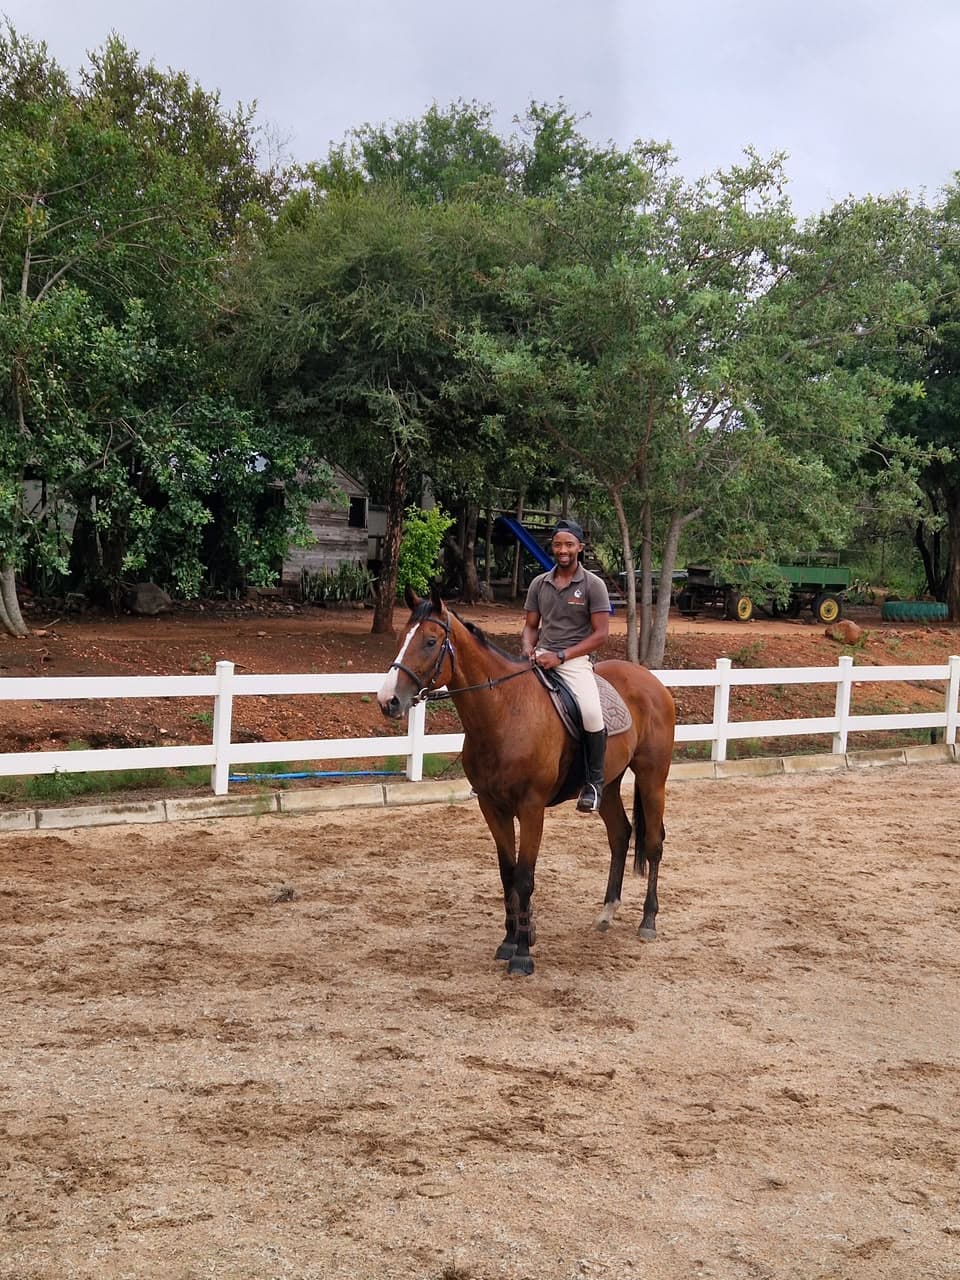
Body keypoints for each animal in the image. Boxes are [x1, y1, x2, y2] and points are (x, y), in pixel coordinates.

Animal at [377, 585, 676, 976]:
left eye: (429, 641)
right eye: (401, 638)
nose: (388, 701)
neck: (504, 711)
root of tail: (651, 679)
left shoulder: (531, 808)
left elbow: (525, 875)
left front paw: (522, 954)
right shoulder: (492, 806)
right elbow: (507, 873)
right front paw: (510, 941)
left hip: (653, 777)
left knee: (653, 842)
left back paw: (648, 921)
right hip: (608, 783)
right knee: (620, 835)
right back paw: (607, 912)